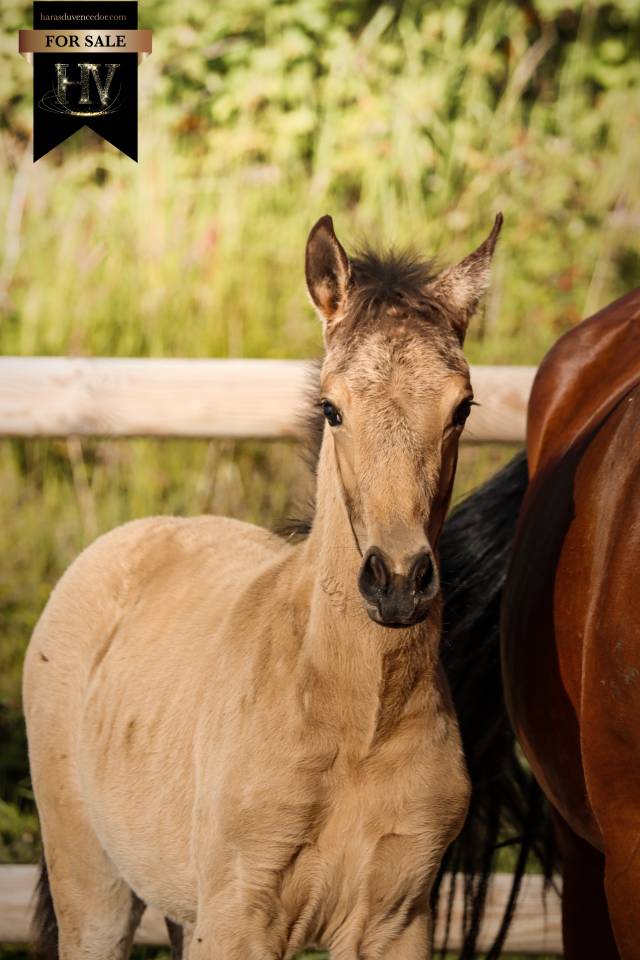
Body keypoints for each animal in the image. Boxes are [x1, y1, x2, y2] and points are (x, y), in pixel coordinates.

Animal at [24, 212, 503, 960]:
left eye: (463, 407)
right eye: (332, 408)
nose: (397, 582)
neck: (355, 720)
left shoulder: (397, 918)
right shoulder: (240, 918)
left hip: (181, 905)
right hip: (94, 887)